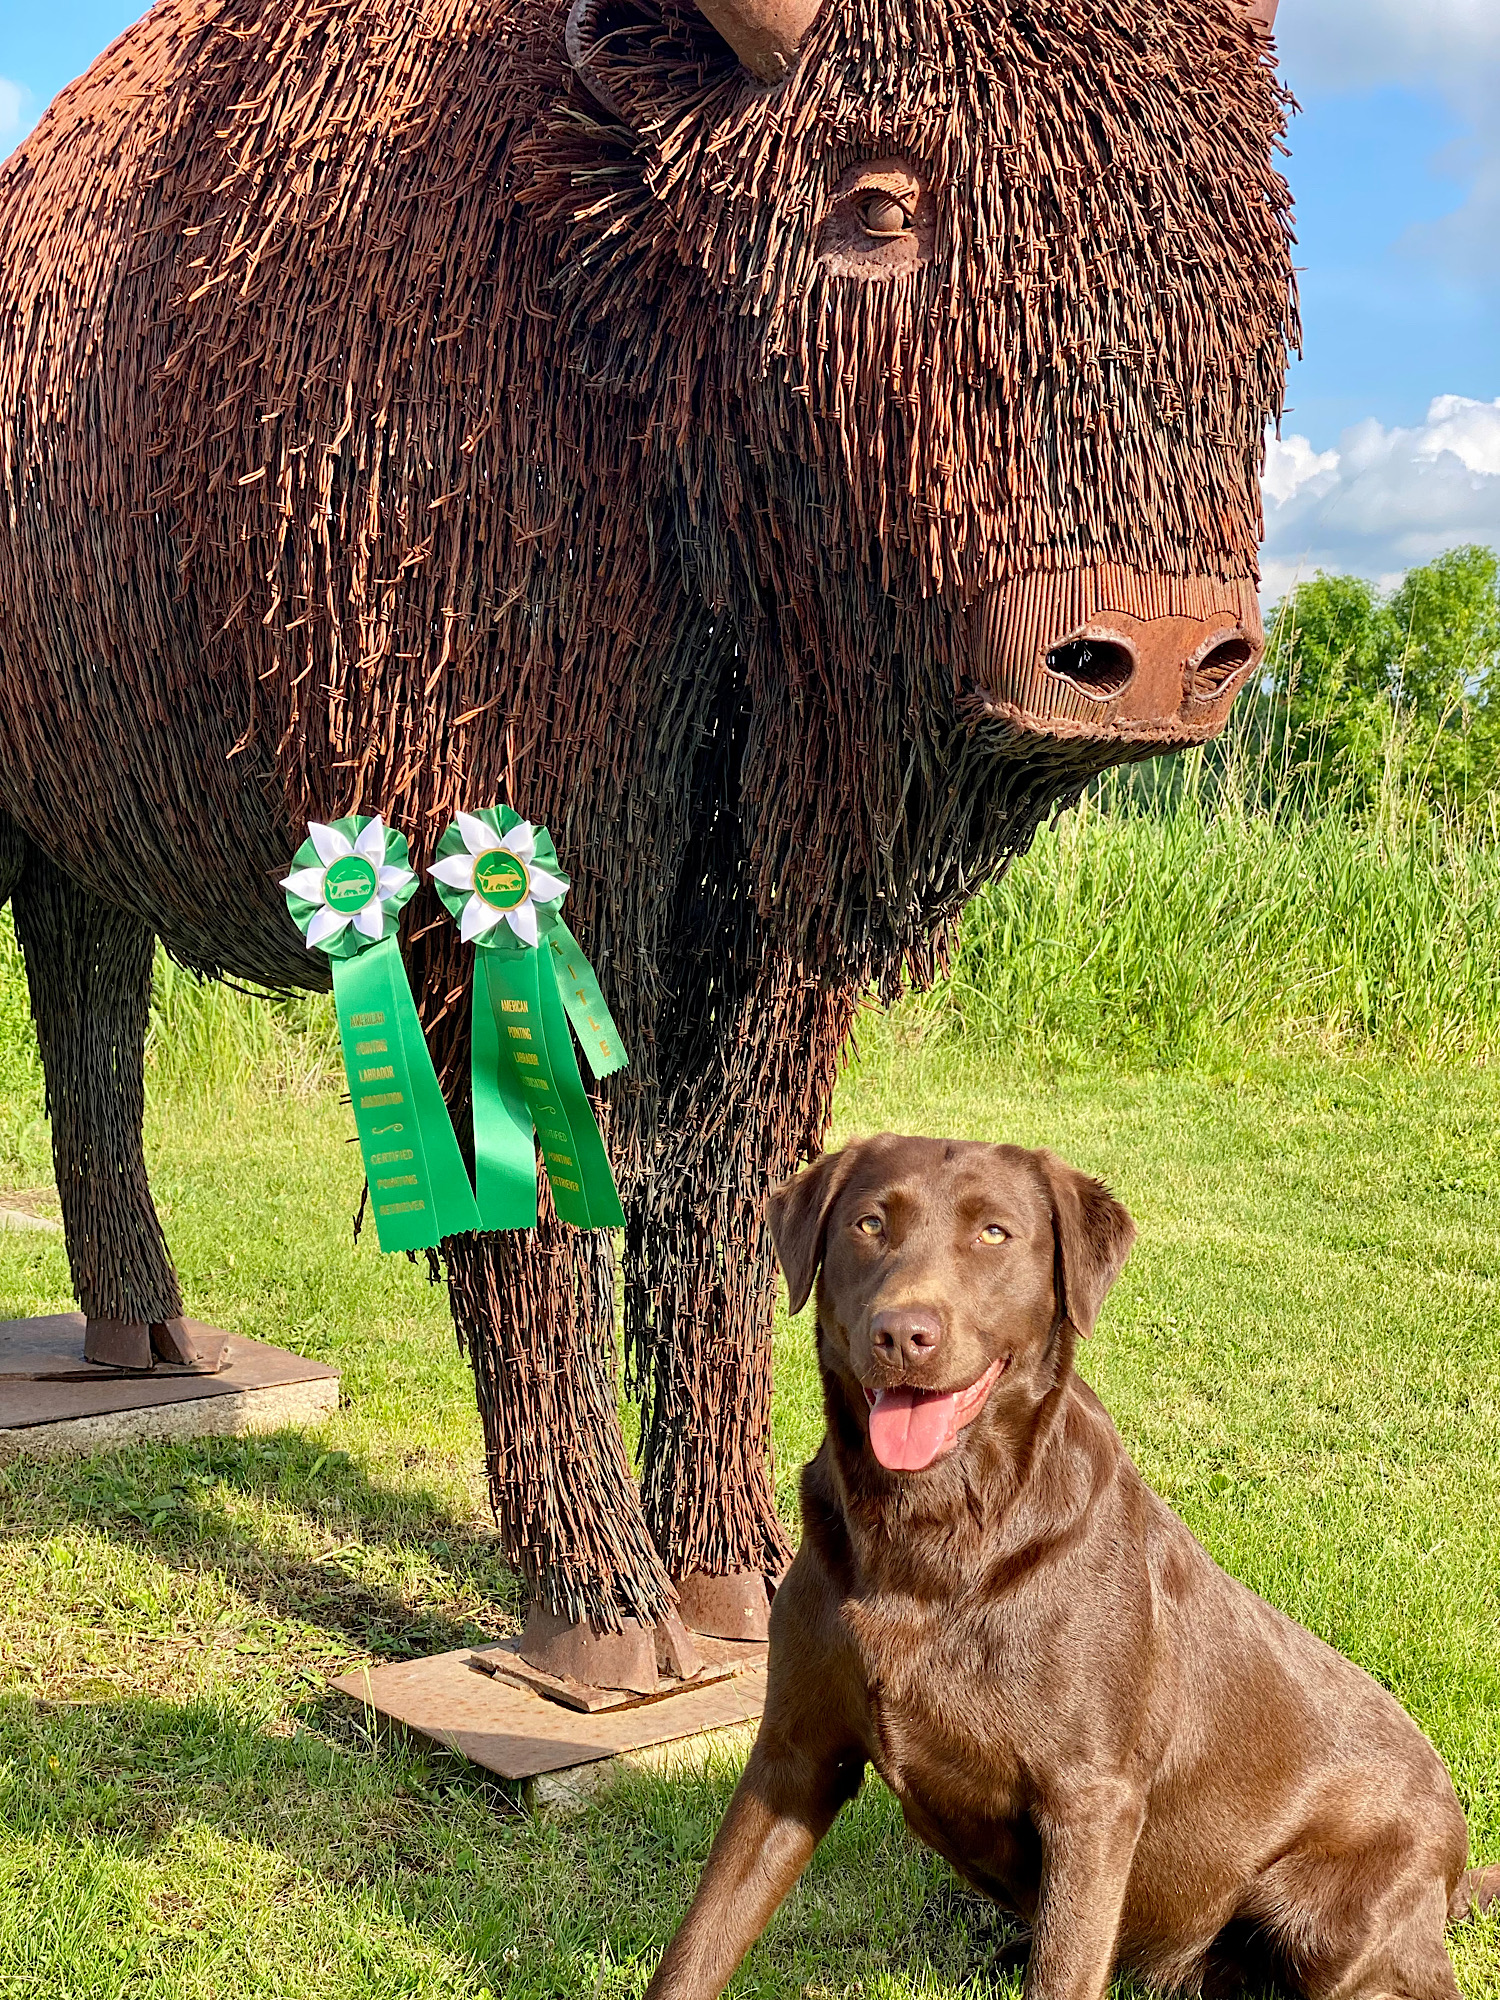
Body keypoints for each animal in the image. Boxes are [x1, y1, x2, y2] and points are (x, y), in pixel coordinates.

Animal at [640, 1144, 1496, 2000]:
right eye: (869, 1223)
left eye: (994, 1233)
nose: (903, 1333)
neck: (931, 1531)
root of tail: (1456, 1863)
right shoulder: (794, 1752)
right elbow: (698, 1941)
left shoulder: (1091, 1801)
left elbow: (1064, 1968)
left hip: (1329, 1917)